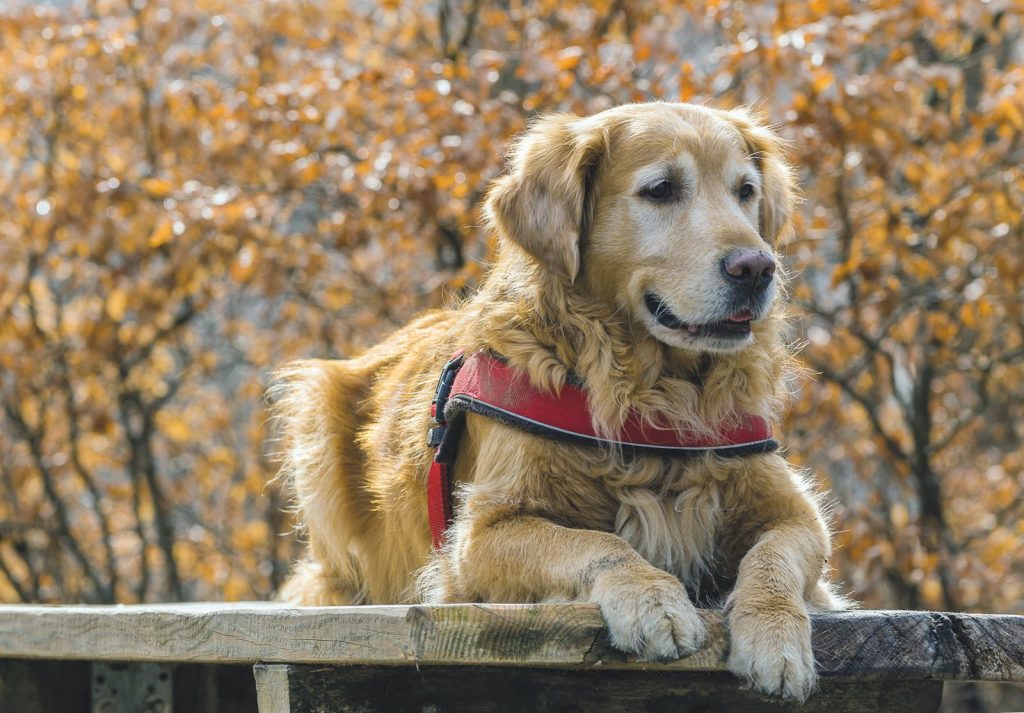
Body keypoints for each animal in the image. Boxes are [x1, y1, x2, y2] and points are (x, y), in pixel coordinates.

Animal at [270, 101, 839, 700]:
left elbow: (774, 557)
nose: (757, 267)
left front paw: (775, 637)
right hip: (315, 412)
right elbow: (596, 543)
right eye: (661, 190)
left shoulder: (796, 513)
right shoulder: (480, 536)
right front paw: (653, 600)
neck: (653, 394)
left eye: (745, 191)